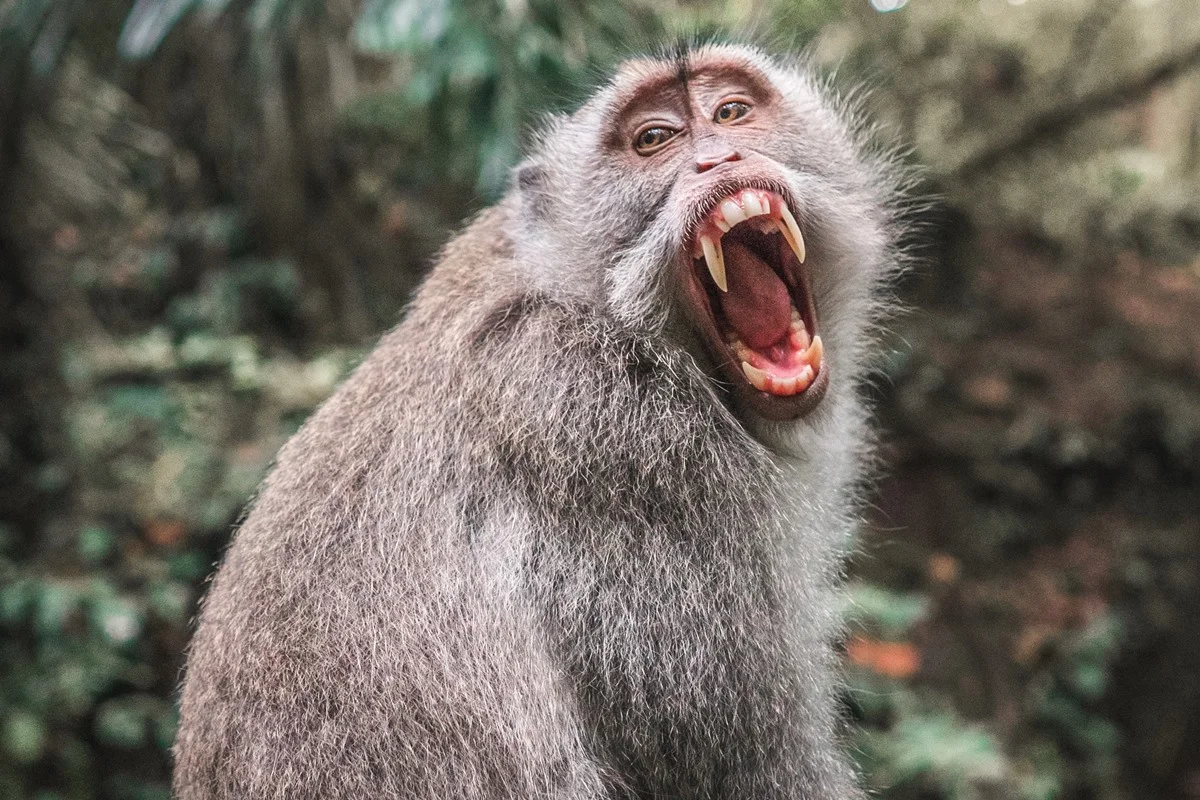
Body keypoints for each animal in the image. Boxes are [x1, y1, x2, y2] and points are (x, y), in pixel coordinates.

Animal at [172, 43, 907, 800]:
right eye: (654, 140)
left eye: (732, 111)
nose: (718, 160)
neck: (596, 306)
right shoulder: (626, 447)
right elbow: (744, 772)